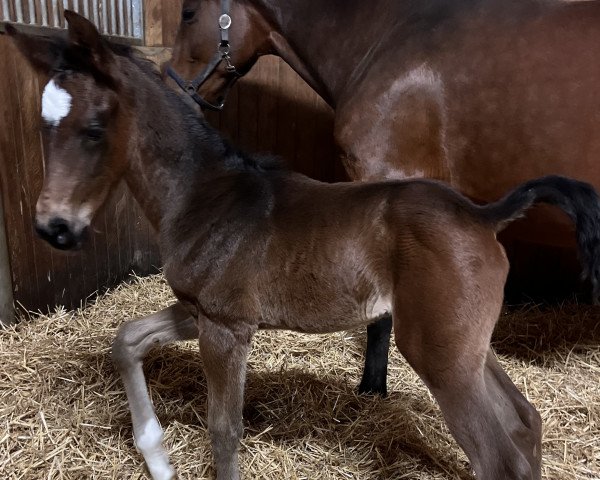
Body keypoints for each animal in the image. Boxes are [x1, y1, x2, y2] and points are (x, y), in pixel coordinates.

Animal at [8, 11, 600, 480]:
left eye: (94, 129)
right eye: (43, 126)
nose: (53, 227)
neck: (202, 192)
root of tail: (482, 214)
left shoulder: (225, 327)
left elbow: (224, 431)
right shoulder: (201, 310)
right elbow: (127, 339)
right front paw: (157, 459)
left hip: (441, 357)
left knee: (497, 457)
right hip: (464, 346)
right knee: (525, 423)